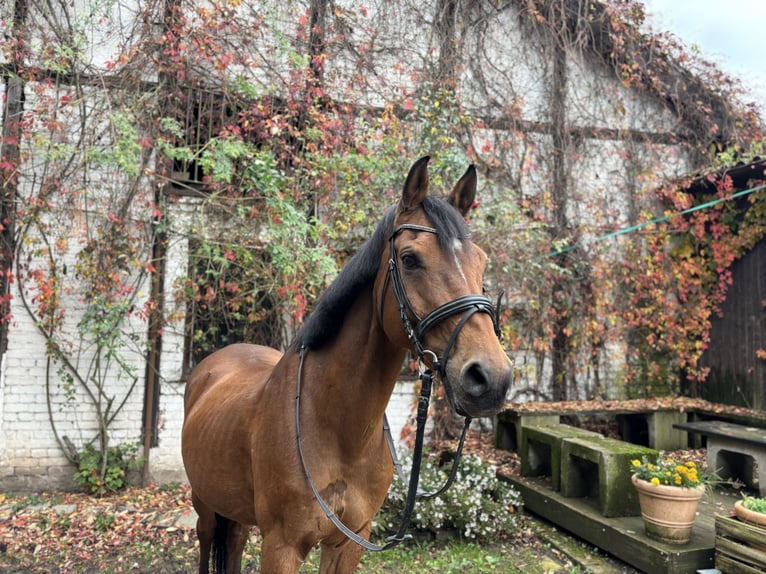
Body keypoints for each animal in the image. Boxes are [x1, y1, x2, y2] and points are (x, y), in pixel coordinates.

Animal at [182, 155, 512, 572]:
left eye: (481, 262)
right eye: (410, 259)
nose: (490, 378)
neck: (337, 429)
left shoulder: (349, 542)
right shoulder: (281, 547)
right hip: (205, 505)